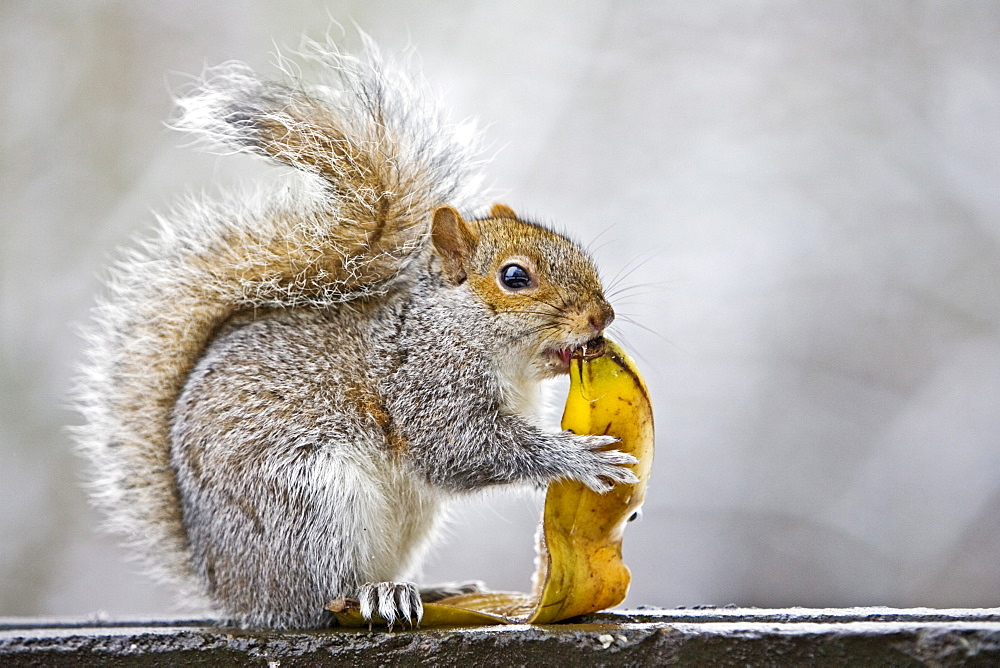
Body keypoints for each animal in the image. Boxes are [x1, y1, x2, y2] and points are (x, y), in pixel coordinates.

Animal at [74, 39, 636, 628]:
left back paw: (428, 590)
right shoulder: (425, 386)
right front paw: (578, 457)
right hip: (308, 504)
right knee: (321, 599)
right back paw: (377, 594)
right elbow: (460, 448)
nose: (602, 317)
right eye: (514, 277)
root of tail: (231, 588)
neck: (457, 331)